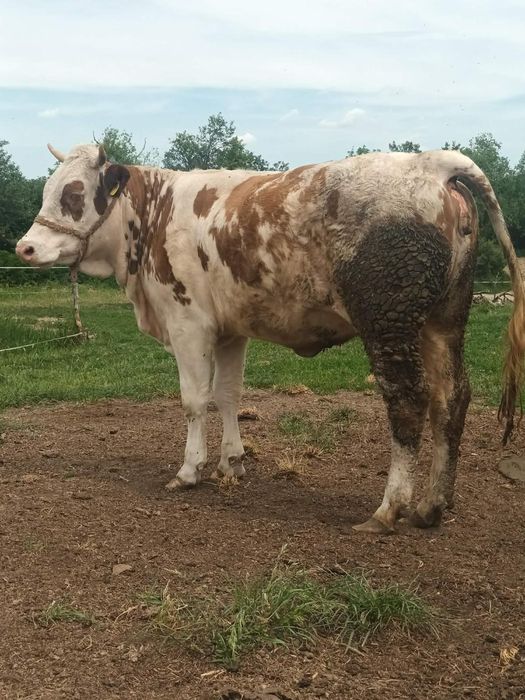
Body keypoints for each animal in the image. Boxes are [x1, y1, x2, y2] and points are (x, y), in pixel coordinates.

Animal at [15, 143, 525, 534]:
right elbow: (228, 395)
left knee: (408, 400)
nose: (25, 247)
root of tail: (430, 162)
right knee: (451, 399)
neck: (154, 214)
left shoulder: (187, 322)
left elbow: (194, 400)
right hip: (443, 320)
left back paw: (389, 509)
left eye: (74, 193)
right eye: (47, 189)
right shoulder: (229, 330)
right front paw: (231, 463)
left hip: (390, 322)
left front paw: (189, 470)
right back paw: (431, 506)